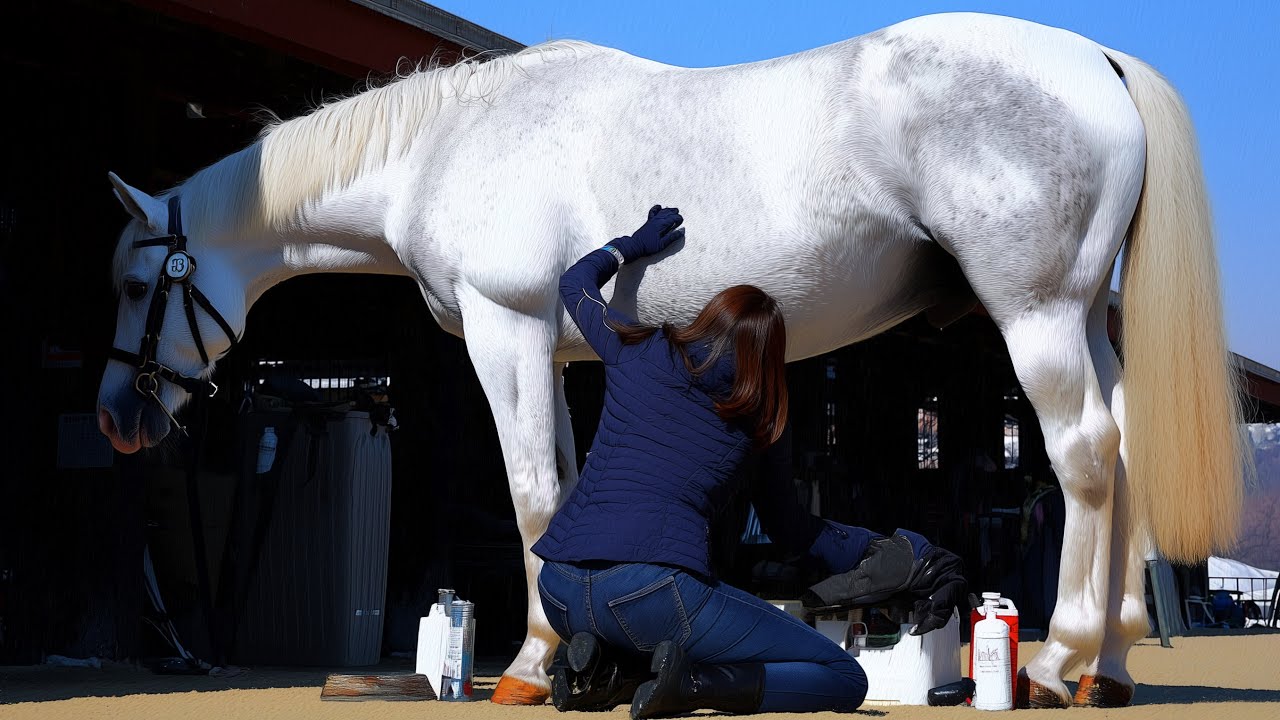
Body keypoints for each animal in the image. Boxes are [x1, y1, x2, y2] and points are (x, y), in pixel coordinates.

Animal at [97, 12, 1245, 708]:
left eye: (131, 285)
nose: (118, 416)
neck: (449, 146)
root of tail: (1094, 58)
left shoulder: (507, 331)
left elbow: (529, 498)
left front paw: (526, 667)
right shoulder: (558, 354)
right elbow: (562, 497)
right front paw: (573, 659)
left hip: (1034, 313)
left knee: (1084, 453)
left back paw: (1056, 660)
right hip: (1082, 317)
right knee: (1125, 446)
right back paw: (1110, 663)